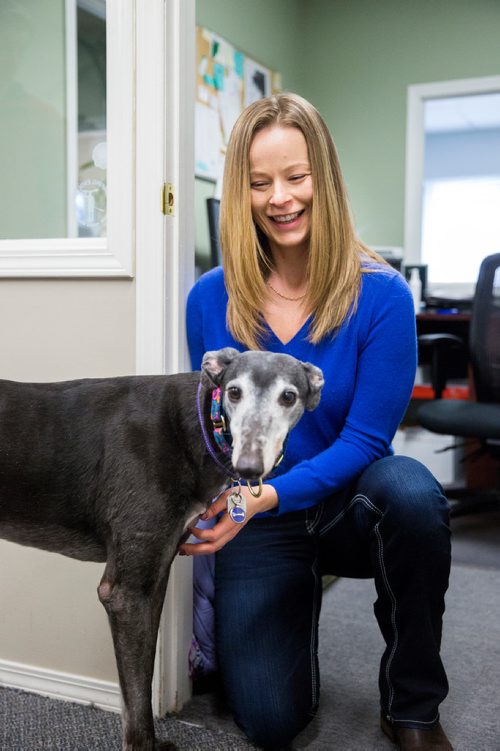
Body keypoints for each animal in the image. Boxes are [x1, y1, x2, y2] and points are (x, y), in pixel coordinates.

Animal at [0, 350, 324, 748]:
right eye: (234, 392)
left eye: (289, 397)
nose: (248, 466)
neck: (197, 423)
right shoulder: (126, 594)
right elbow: (136, 698)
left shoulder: (154, 578)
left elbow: (140, 682)